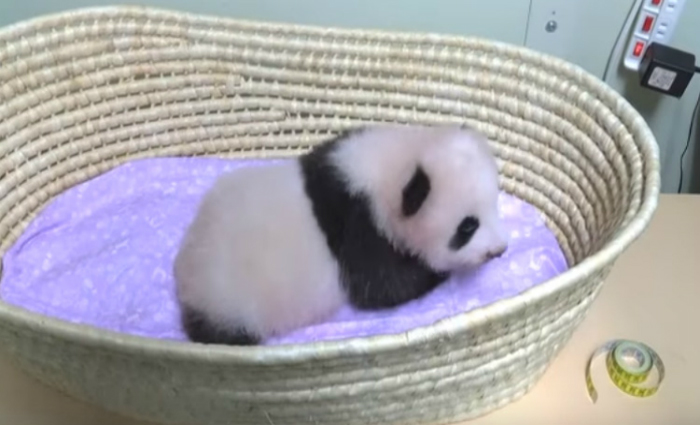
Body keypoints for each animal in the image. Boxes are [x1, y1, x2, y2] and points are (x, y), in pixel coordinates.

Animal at [173, 124, 509, 345]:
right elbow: (380, 288)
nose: (498, 251)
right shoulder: (361, 229)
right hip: (233, 304)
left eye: (495, 204)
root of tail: (186, 284)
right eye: (467, 227)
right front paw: (435, 273)